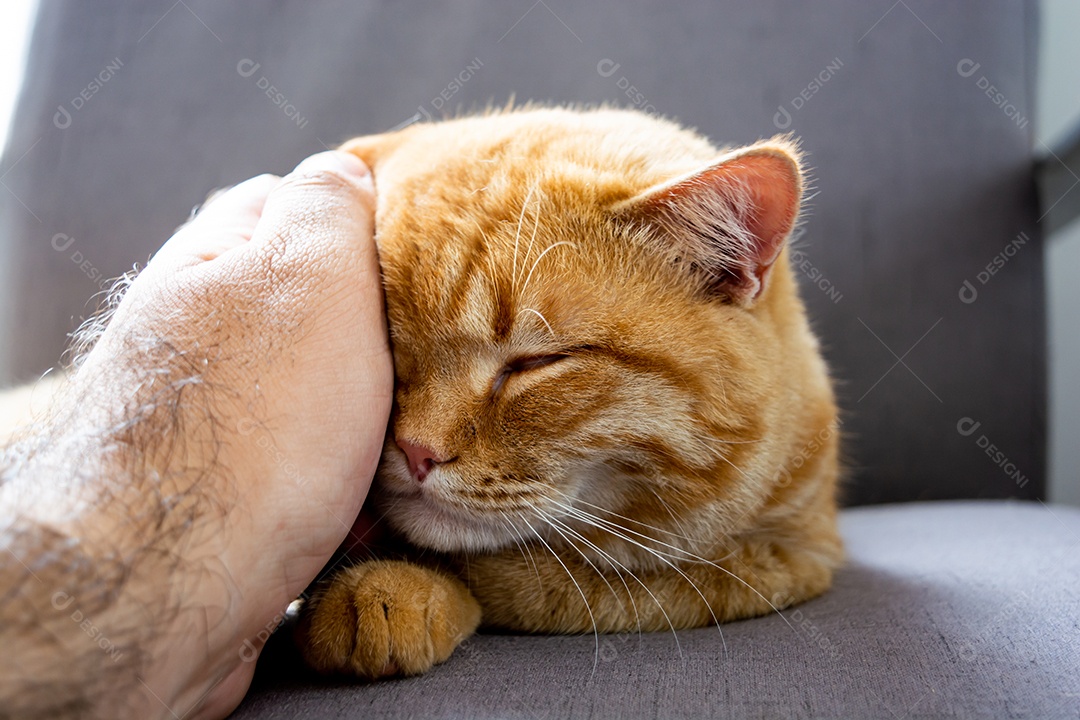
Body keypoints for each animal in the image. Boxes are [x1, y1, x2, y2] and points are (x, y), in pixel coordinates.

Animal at [295, 105, 842, 677]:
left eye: (534, 363)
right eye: (389, 353)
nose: (417, 452)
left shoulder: (785, 557)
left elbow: (553, 586)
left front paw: (403, 587)